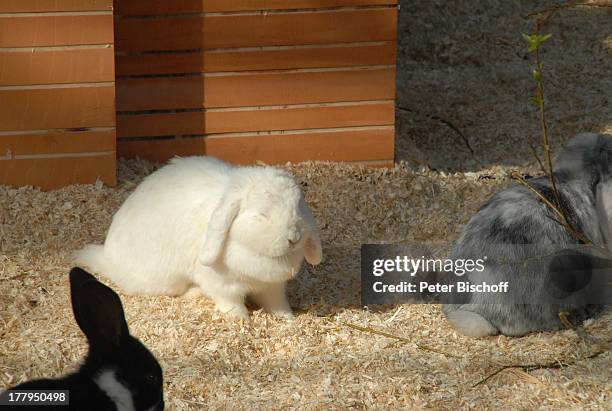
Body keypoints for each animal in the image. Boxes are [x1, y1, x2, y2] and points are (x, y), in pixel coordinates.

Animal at [74, 156, 322, 320]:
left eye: (297, 209)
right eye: (262, 215)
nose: (294, 238)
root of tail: (107, 257)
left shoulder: (272, 288)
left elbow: (277, 304)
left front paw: (288, 319)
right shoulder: (222, 284)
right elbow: (230, 302)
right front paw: (241, 320)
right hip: (167, 281)